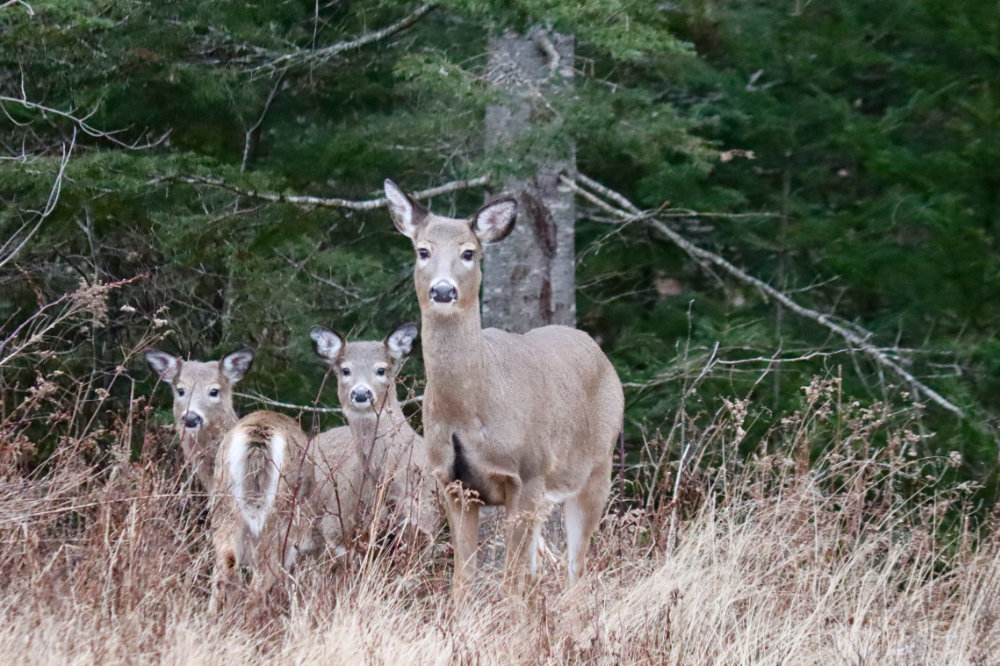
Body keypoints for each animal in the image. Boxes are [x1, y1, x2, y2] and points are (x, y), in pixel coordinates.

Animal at [384, 178, 624, 596]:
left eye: (469, 252)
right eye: (422, 250)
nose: (443, 291)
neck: (469, 411)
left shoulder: (526, 474)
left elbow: (512, 577)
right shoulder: (452, 484)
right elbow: (464, 576)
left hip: (594, 468)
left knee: (576, 566)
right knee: (544, 568)